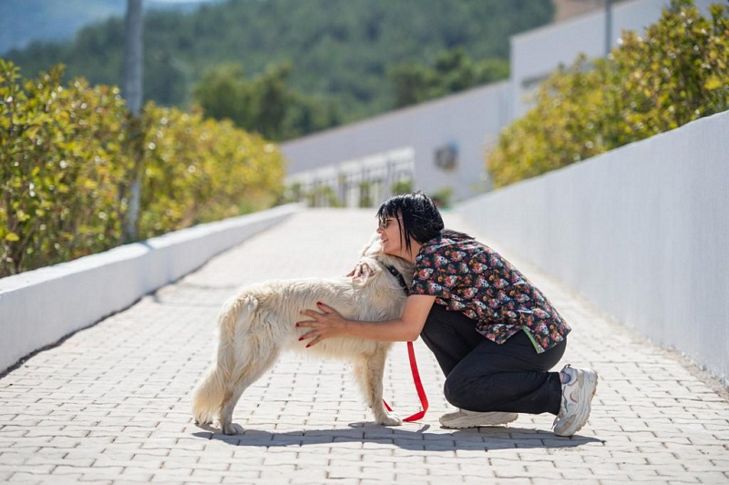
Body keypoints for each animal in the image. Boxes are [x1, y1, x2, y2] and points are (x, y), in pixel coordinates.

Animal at [191, 236, 412, 432]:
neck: (392, 271)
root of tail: (242, 298)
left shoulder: (363, 359)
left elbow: (369, 391)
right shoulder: (376, 353)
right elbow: (377, 390)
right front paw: (384, 419)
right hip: (259, 358)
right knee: (230, 390)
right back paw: (228, 426)